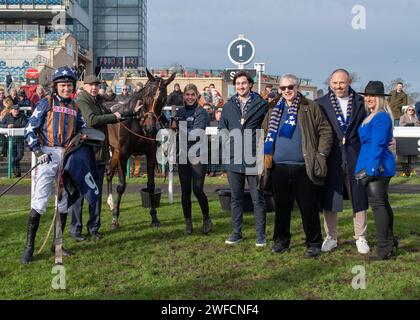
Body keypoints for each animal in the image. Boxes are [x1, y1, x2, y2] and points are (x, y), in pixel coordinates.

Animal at [106, 70, 176, 230]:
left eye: (164, 99)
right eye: (147, 96)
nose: (149, 127)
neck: (137, 121)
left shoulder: (150, 153)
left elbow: (151, 185)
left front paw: (154, 217)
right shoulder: (124, 153)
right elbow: (121, 186)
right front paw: (115, 219)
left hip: (115, 151)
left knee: (109, 173)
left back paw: (111, 203)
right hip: (114, 150)